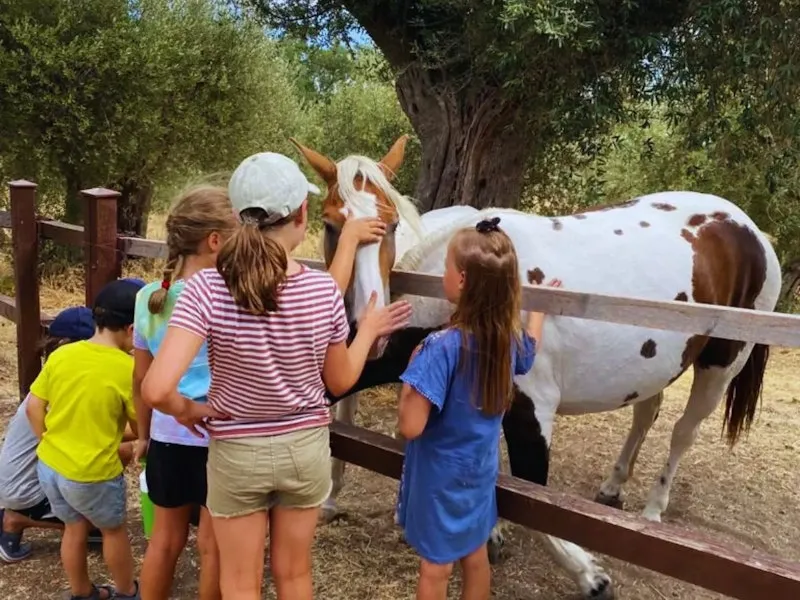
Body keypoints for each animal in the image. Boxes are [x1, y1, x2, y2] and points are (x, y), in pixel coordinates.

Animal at [292, 137, 782, 600]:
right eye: (332, 224)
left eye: (391, 223)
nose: (367, 323)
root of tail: (750, 229)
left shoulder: (533, 408)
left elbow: (534, 495)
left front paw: (591, 576)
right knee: (646, 413)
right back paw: (613, 487)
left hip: (722, 363)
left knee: (683, 433)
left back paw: (653, 510)